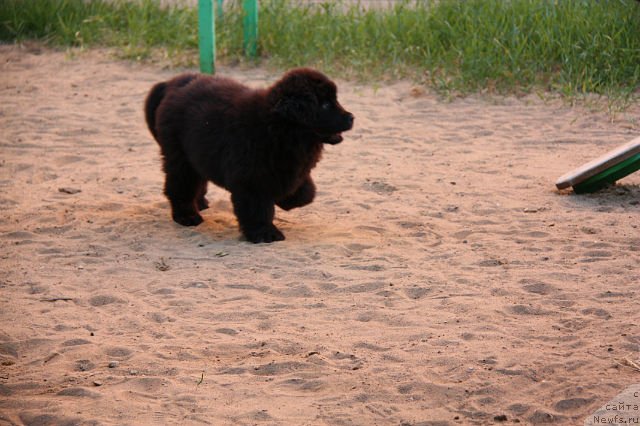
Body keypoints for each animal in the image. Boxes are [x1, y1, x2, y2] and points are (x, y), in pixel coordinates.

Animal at [144, 69, 356, 243]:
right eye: (325, 105)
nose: (351, 117)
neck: (280, 129)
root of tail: (171, 84)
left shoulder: (293, 169)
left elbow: (306, 192)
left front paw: (286, 202)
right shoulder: (251, 180)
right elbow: (257, 208)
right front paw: (265, 234)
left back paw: (201, 203)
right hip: (180, 158)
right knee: (180, 187)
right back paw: (187, 216)